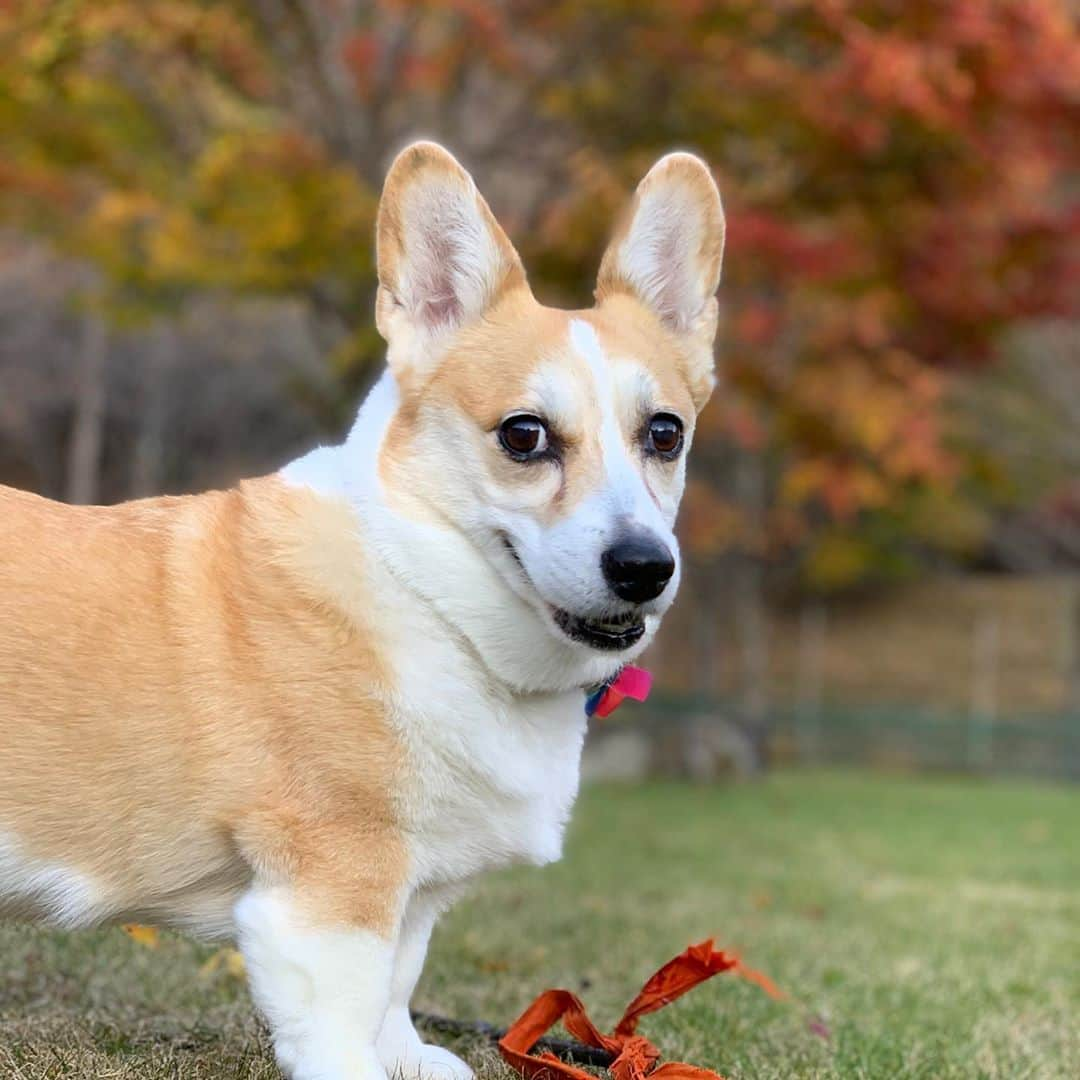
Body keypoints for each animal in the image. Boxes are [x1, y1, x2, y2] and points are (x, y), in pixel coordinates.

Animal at [4, 143, 725, 1080]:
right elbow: (346, 1017)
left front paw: (413, 1058)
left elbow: (398, 982)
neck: (430, 594)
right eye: (524, 435)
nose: (644, 568)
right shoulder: (330, 891)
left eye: (665, 433)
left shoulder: (411, 893)